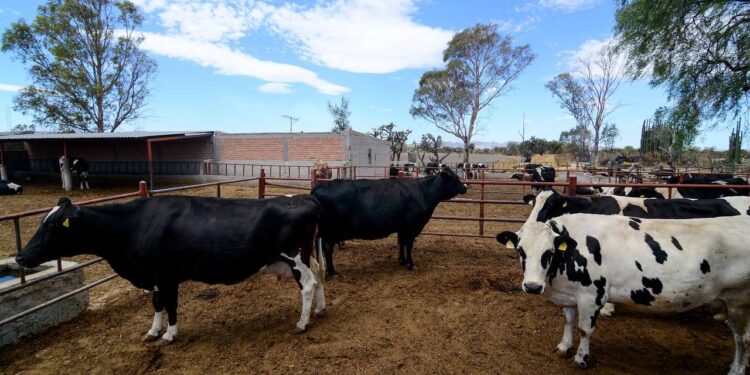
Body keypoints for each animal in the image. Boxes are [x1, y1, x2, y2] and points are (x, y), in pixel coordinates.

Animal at [14, 195, 326, 346]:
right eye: (42, 221)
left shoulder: (167, 275)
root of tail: (303, 199)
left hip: (295, 258)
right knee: (320, 277)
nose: (20, 256)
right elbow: (157, 303)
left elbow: (171, 304)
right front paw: (152, 331)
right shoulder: (153, 276)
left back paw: (302, 323)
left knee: (308, 285)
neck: (134, 225)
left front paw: (169, 334)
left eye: (53, 226)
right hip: (307, 255)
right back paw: (320, 310)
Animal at [310, 167, 464, 276]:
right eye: (455, 178)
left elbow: (401, 243)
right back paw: (332, 272)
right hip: (330, 232)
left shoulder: (402, 227)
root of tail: (320, 186)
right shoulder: (411, 227)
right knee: (328, 249)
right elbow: (408, 245)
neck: (423, 192)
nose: (465, 187)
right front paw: (411, 264)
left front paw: (402, 261)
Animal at [500, 214, 750, 374]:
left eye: (549, 252)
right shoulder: (570, 295)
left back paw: (736, 370)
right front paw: (563, 347)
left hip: (738, 300)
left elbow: (584, 329)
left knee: (742, 338)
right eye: (520, 250)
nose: (532, 286)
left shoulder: (591, 296)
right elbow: (569, 321)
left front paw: (581, 358)